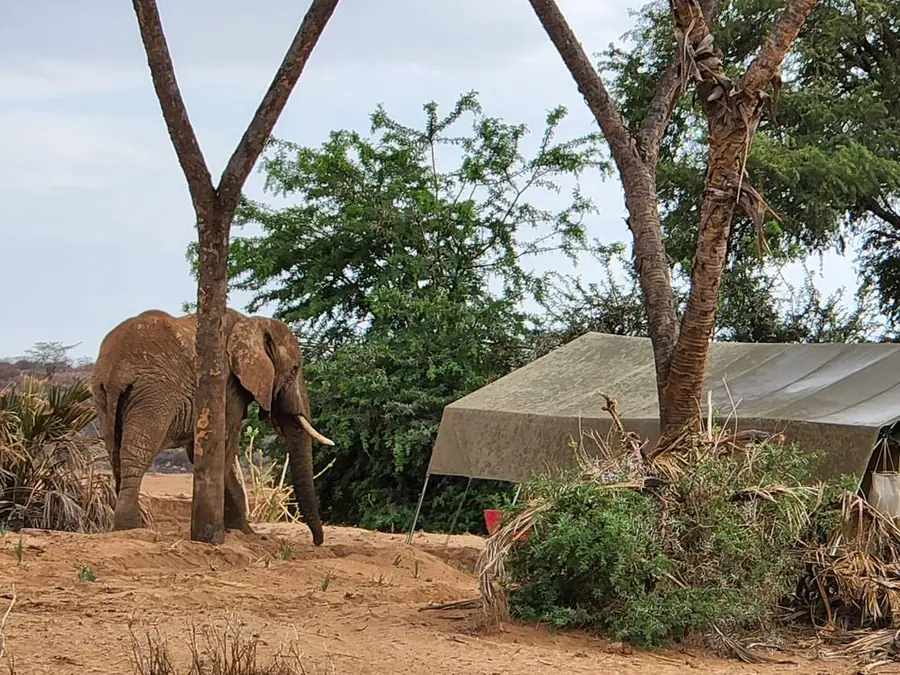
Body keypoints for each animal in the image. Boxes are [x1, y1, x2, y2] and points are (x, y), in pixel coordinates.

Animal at [90, 307, 333, 545]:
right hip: (153, 395)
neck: (251, 322)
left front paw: (244, 533)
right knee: (138, 453)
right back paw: (132, 527)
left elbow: (202, 449)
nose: (316, 542)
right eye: (294, 369)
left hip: (103, 398)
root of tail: (115, 371)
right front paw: (233, 532)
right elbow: (225, 443)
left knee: (116, 453)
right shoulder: (229, 384)